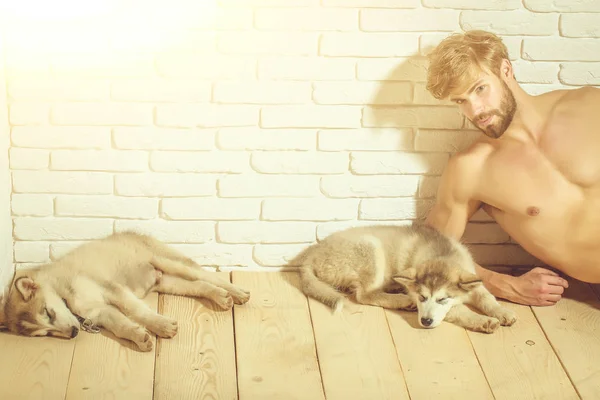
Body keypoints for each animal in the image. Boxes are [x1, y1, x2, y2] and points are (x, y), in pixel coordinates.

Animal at [0, 231, 250, 350]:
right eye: (45, 334)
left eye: (48, 312)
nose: (72, 333)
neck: (64, 292)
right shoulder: (99, 312)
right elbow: (121, 325)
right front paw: (139, 337)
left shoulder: (111, 290)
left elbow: (137, 311)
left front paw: (160, 325)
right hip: (167, 281)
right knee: (201, 285)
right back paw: (221, 297)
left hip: (169, 262)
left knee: (207, 275)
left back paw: (237, 293)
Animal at [290, 223, 516, 332]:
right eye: (422, 297)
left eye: (442, 299)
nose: (425, 321)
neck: (443, 255)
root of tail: (313, 253)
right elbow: (460, 311)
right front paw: (484, 322)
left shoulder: (473, 281)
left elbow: (488, 298)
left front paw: (502, 313)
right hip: (371, 248)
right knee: (364, 295)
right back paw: (402, 300)